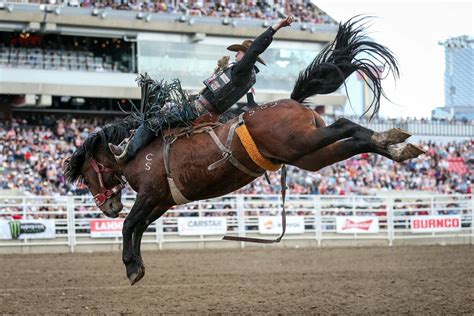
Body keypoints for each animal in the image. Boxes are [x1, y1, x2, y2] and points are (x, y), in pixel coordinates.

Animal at [64, 16, 426, 284]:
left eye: (86, 177)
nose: (108, 207)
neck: (141, 151)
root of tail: (292, 101)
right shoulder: (162, 200)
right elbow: (138, 227)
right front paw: (136, 264)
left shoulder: (151, 194)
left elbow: (129, 226)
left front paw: (131, 267)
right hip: (310, 155)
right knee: (353, 140)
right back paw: (398, 146)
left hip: (304, 142)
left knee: (345, 125)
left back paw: (391, 139)